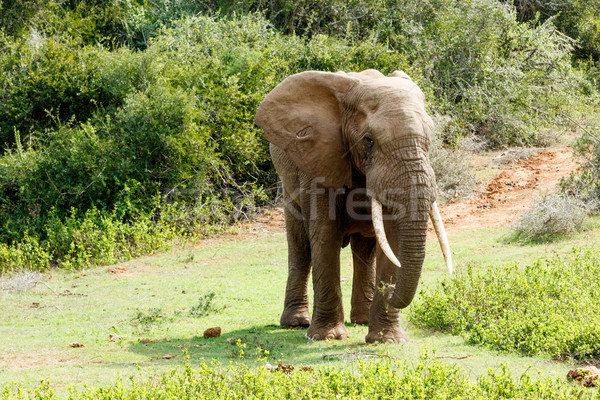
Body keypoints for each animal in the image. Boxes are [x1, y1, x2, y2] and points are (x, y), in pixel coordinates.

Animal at [252, 69, 450, 344]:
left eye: (430, 138)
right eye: (369, 141)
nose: (390, 291)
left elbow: (392, 239)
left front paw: (386, 340)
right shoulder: (318, 161)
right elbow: (324, 236)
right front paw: (327, 337)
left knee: (364, 247)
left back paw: (362, 319)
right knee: (301, 245)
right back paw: (296, 323)